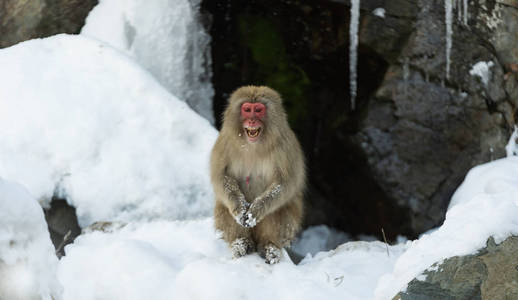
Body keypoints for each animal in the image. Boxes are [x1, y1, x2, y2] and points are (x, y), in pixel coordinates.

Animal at [211, 85, 306, 264]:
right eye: (247, 110)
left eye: (259, 110)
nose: (252, 121)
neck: (253, 145)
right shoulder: (225, 142)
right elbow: (221, 177)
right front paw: (240, 208)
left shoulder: (286, 146)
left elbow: (285, 184)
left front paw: (255, 210)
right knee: (225, 208)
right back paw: (242, 244)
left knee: (277, 210)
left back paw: (269, 248)